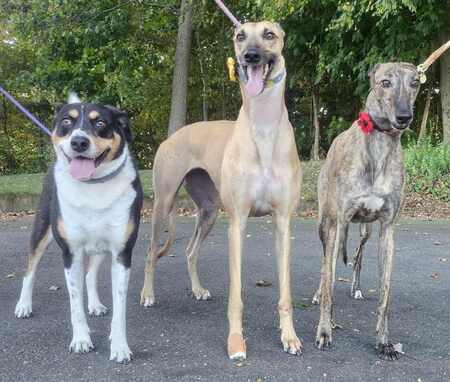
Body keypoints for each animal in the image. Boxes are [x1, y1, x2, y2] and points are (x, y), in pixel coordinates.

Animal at [15, 94, 142, 362]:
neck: (93, 187)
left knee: (90, 274)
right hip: (41, 231)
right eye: (66, 121)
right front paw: (82, 340)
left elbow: (120, 307)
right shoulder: (71, 253)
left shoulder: (121, 253)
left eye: (101, 123)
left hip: (100, 248)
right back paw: (23, 305)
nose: (79, 142)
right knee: (30, 270)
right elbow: (75, 305)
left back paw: (94, 304)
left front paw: (119, 346)